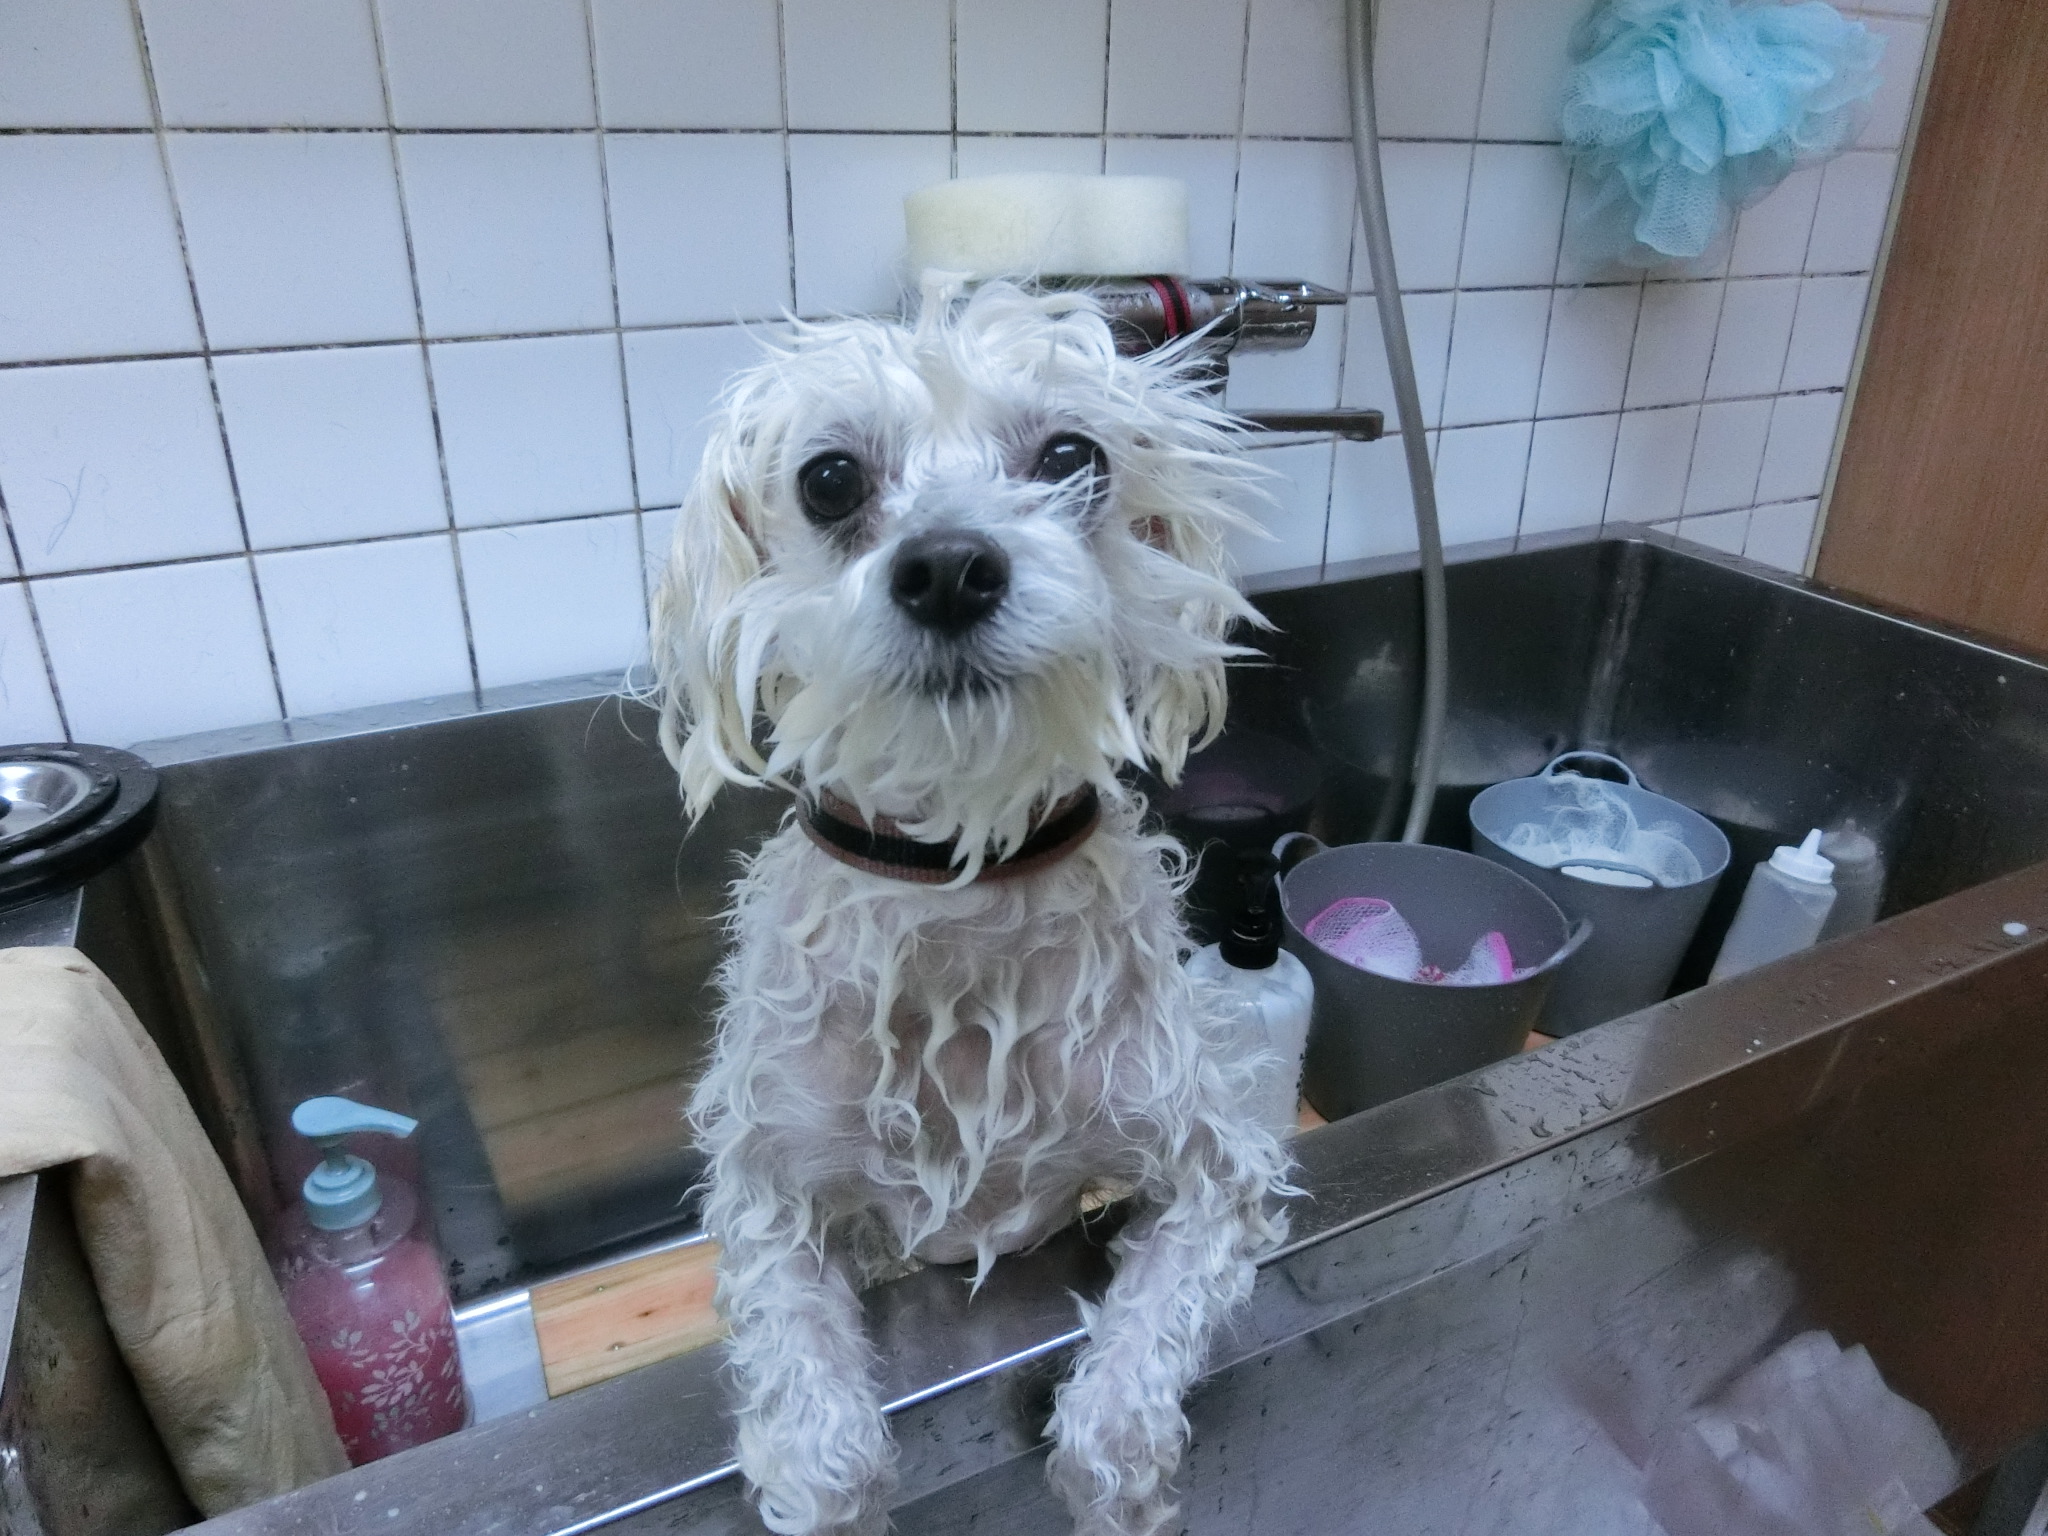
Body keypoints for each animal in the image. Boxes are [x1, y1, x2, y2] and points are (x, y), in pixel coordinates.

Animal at [650, 280, 1292, 1536]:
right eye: (830, 480)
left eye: (1070, 455)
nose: (948, 565)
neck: (957, 897)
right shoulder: (769, 1194)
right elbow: (820, 1442)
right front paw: (829, 1492)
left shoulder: (1215, 1172)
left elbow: (1118, 1414)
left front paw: (1119, 1491)